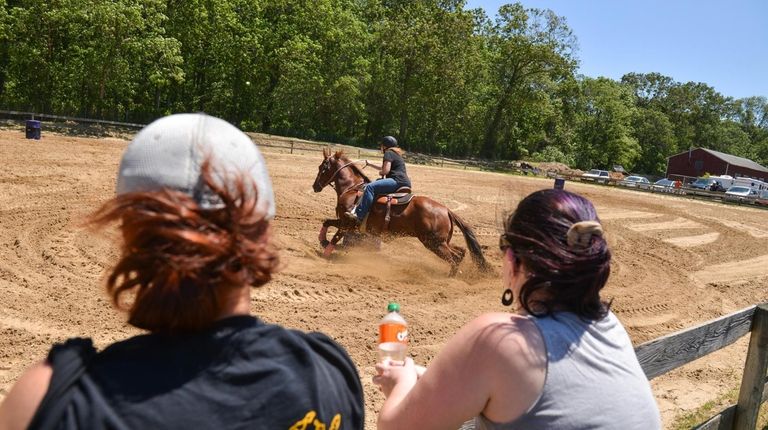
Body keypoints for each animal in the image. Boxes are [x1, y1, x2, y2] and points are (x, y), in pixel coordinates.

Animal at [310, 147, 486, 276]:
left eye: (322, 168)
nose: (315, 186)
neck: (353, 188)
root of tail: (447, 210)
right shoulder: (347, 224)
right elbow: (327, 222)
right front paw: (322, 240)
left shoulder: (347, 222)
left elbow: (335, 235)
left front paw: (325, 252)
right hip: (441, 241)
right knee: (461, 252)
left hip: (434, 243)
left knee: (454, 258)